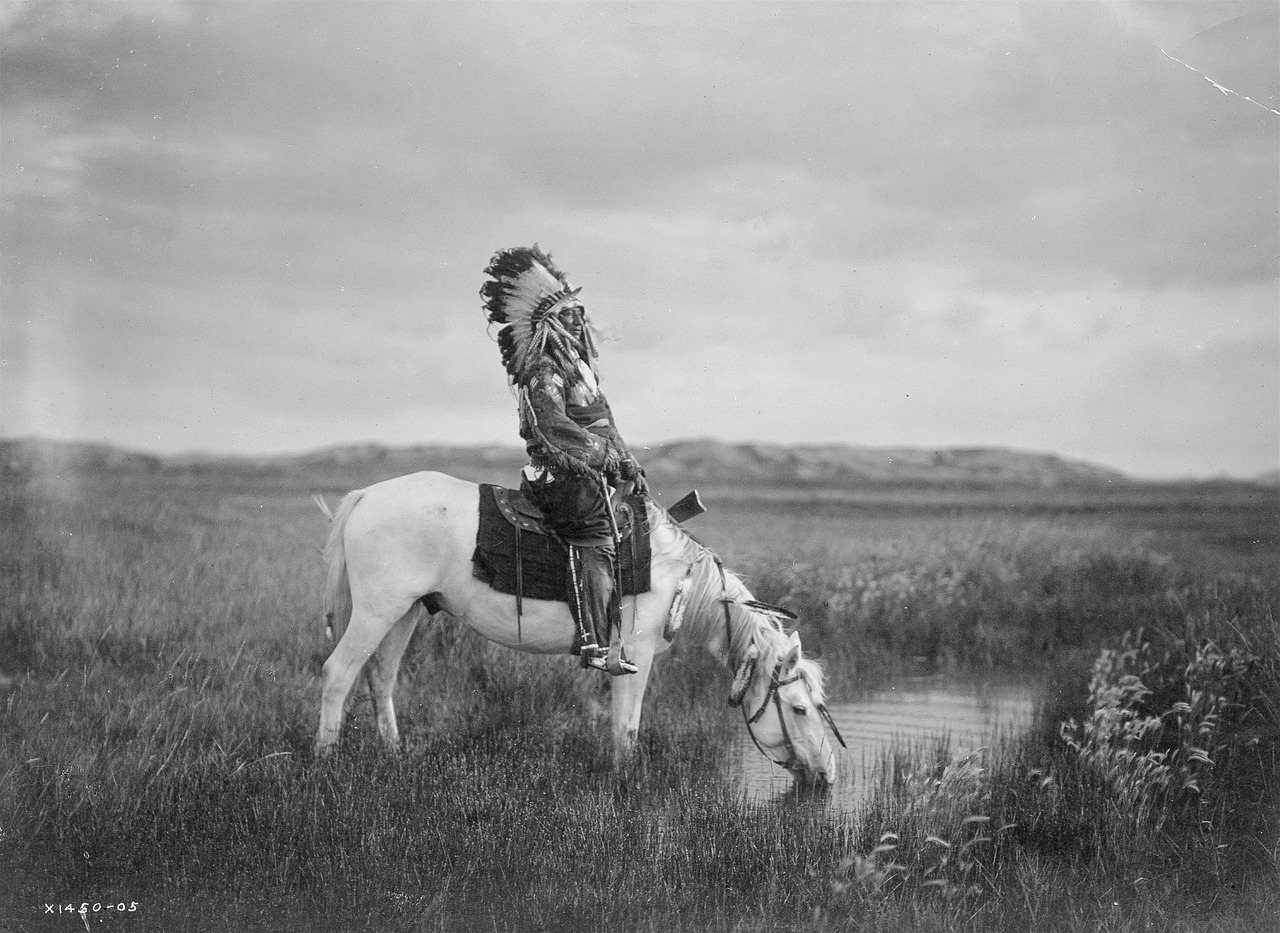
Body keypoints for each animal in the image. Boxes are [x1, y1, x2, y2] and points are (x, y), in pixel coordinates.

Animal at [314, 468, 844, 783]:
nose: (828, 775)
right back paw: (326, 762)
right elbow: (626, 728)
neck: (678, 577)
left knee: (381, 677)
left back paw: (394, 756)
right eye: (799, 709)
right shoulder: (635, 654)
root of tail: (365, 496)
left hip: (403, 612)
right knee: (338, 674)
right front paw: (625, 786)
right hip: (376, 611)